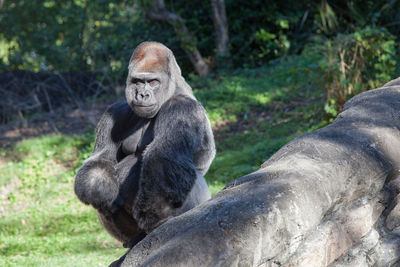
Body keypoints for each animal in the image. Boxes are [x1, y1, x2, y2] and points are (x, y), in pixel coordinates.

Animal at [72, 42, 216, 249]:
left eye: (153, 82)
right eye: (138, 81)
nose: (142, 94)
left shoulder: (182, 108)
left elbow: (162, 157)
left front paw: (154, 216)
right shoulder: (116, 111)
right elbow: (101, 159)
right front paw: (100, 189)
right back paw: (132, 239)